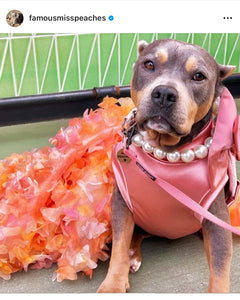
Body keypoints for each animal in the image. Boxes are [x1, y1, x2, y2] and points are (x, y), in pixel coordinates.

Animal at [97, 38, 236, 292]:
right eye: (149, 64)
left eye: (199, 76)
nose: (164, 93)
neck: (164, 155)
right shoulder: (121, 202)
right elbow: (120, 244)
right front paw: (113, 285)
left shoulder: (217, 217)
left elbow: (220, 267)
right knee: (134, 236)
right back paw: (132, 255)